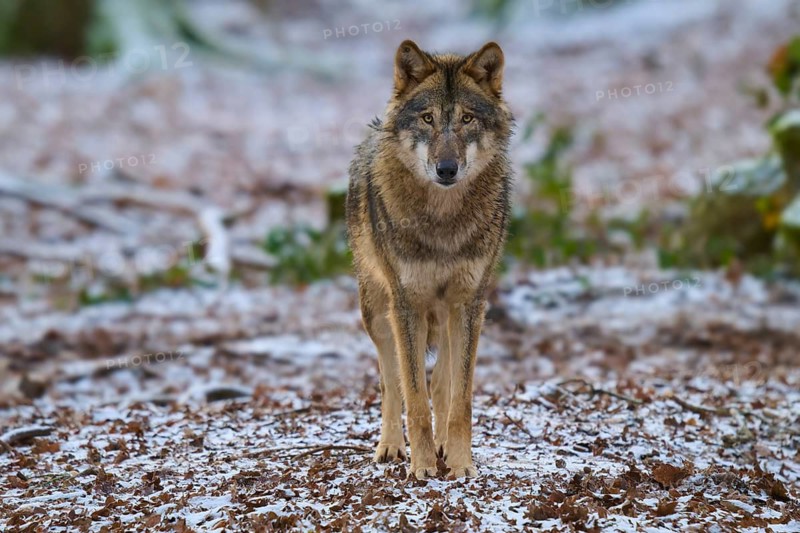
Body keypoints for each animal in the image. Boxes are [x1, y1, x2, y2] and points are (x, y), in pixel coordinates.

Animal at [346, 40, 513, 479]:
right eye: (427, 118)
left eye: (467, 118)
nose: (447, 168)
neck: (443, 220)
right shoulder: (407, 305)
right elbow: (414, 398)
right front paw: (421, 467)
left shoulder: (470, 303)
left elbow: (460, 399)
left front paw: (460, 463)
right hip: (377, 312)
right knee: (391, 383)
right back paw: (390, 446)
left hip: (453, 314)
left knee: (442, 382)